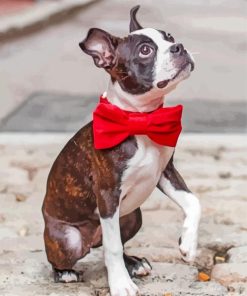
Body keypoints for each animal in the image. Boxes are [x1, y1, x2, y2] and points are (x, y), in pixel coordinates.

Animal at [42, 5, 201, 296]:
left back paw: (134, 264)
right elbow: (113, 247)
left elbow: (194, 202)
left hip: (131, 217)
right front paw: (120, 284)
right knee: (71, 255)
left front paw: (188, 244)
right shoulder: (107, 194)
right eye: (145, 51)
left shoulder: (165, 172)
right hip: (69, 238)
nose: (179, 47)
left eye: (170, 37)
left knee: (115, 240)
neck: (140, 119)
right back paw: (66, 273)